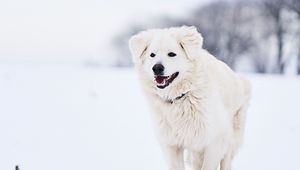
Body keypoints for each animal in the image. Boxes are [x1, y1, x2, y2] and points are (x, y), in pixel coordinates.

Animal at [129, 25, 251, 170]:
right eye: (152, 55)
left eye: (172, 54)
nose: (157, 68)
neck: (181, 98)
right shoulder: (172, 146)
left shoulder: (214, 142)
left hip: (230, 139)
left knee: (226, 161)